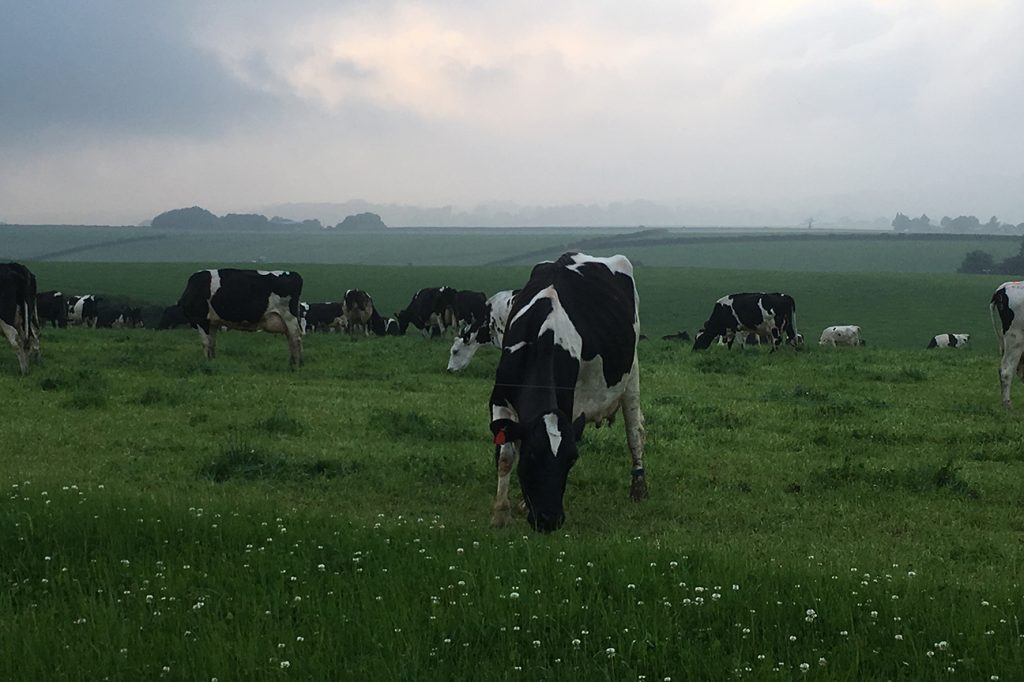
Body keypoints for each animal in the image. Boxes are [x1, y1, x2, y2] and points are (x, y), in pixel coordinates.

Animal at [489, 250, 647, 532]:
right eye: (532, 455)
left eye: (571, 459)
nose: (550, 520)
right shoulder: (499, 399)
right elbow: (506, 454)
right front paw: (501, 512)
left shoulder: (566, 402)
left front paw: (519, 505)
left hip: (631, 373)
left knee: (634, 432)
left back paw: (639, 486)